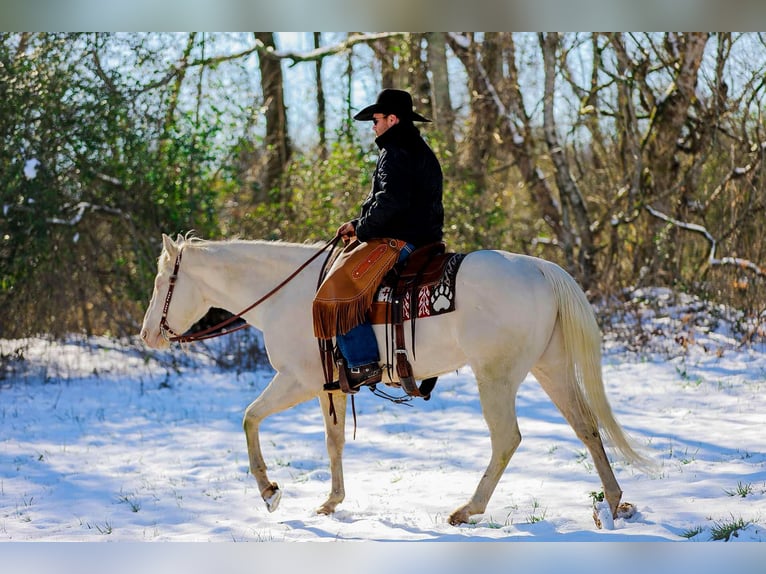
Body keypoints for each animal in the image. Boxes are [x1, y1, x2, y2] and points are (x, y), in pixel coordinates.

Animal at [140, 233, 647, 526]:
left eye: (162, 281)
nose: (147, 335)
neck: (287, 295)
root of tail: (539, 269)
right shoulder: (329, 388)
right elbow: (334, 442)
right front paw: (331, 502)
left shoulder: (297, 380)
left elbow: (249, 418)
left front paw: (269, 492)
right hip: (551, 368)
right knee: (586, 427)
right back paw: (616, 501)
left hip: (496, 377)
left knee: (507, 438)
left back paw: (468, 509)